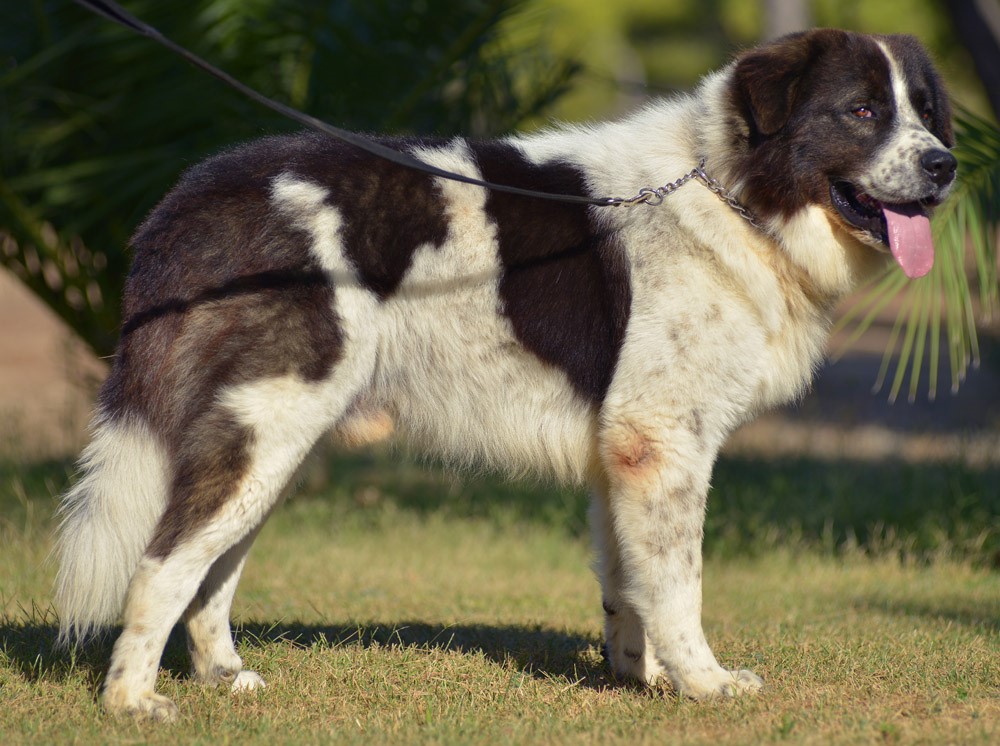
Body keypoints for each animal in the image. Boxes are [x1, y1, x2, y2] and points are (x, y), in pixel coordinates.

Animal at [52, 27, 952, 716]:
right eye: (863, 111)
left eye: (925, 111)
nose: (946, 165)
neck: (729, 187)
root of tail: (197, 193)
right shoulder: (661, 444)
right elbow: (679, 582)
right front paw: (704, 683)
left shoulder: (621, 456)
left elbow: (628, 580)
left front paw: (641, 678)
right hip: (266, 427)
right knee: (164, 562)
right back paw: (131, 701)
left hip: (277, 442)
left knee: (212, 569)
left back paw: (224, 677)